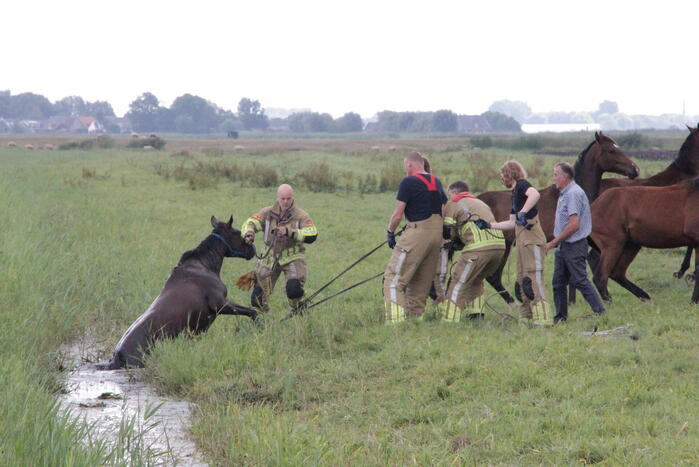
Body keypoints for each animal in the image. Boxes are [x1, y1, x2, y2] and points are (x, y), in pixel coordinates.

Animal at [97, 216, 258, 370]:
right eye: (238, 233)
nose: (253, 249)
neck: (205, 265)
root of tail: (117, 356)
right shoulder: (220, 304)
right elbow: (252, 312)